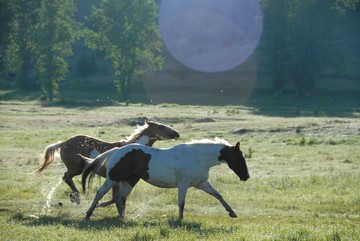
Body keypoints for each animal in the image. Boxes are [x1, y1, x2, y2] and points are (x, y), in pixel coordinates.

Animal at [35, 119, 179, 204]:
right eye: (161, 127)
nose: (177, 133)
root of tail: (64, 143)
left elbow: (115, 197)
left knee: (67, 178)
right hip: (76, 168)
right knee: (66, 177)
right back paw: (76, 197)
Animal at [81, 139, 250, 220]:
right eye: (239, 158)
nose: (246, 176)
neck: (198, 157)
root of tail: (116, 151)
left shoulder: (201, 183)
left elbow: (218, 195)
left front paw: (232, 213)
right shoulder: (184, 184)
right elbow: (181, 203)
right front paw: (180, 220)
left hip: (130, 181)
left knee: (119, 198)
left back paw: (123, 218)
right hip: (112, 178)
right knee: (100, 194)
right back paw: (88, 214)